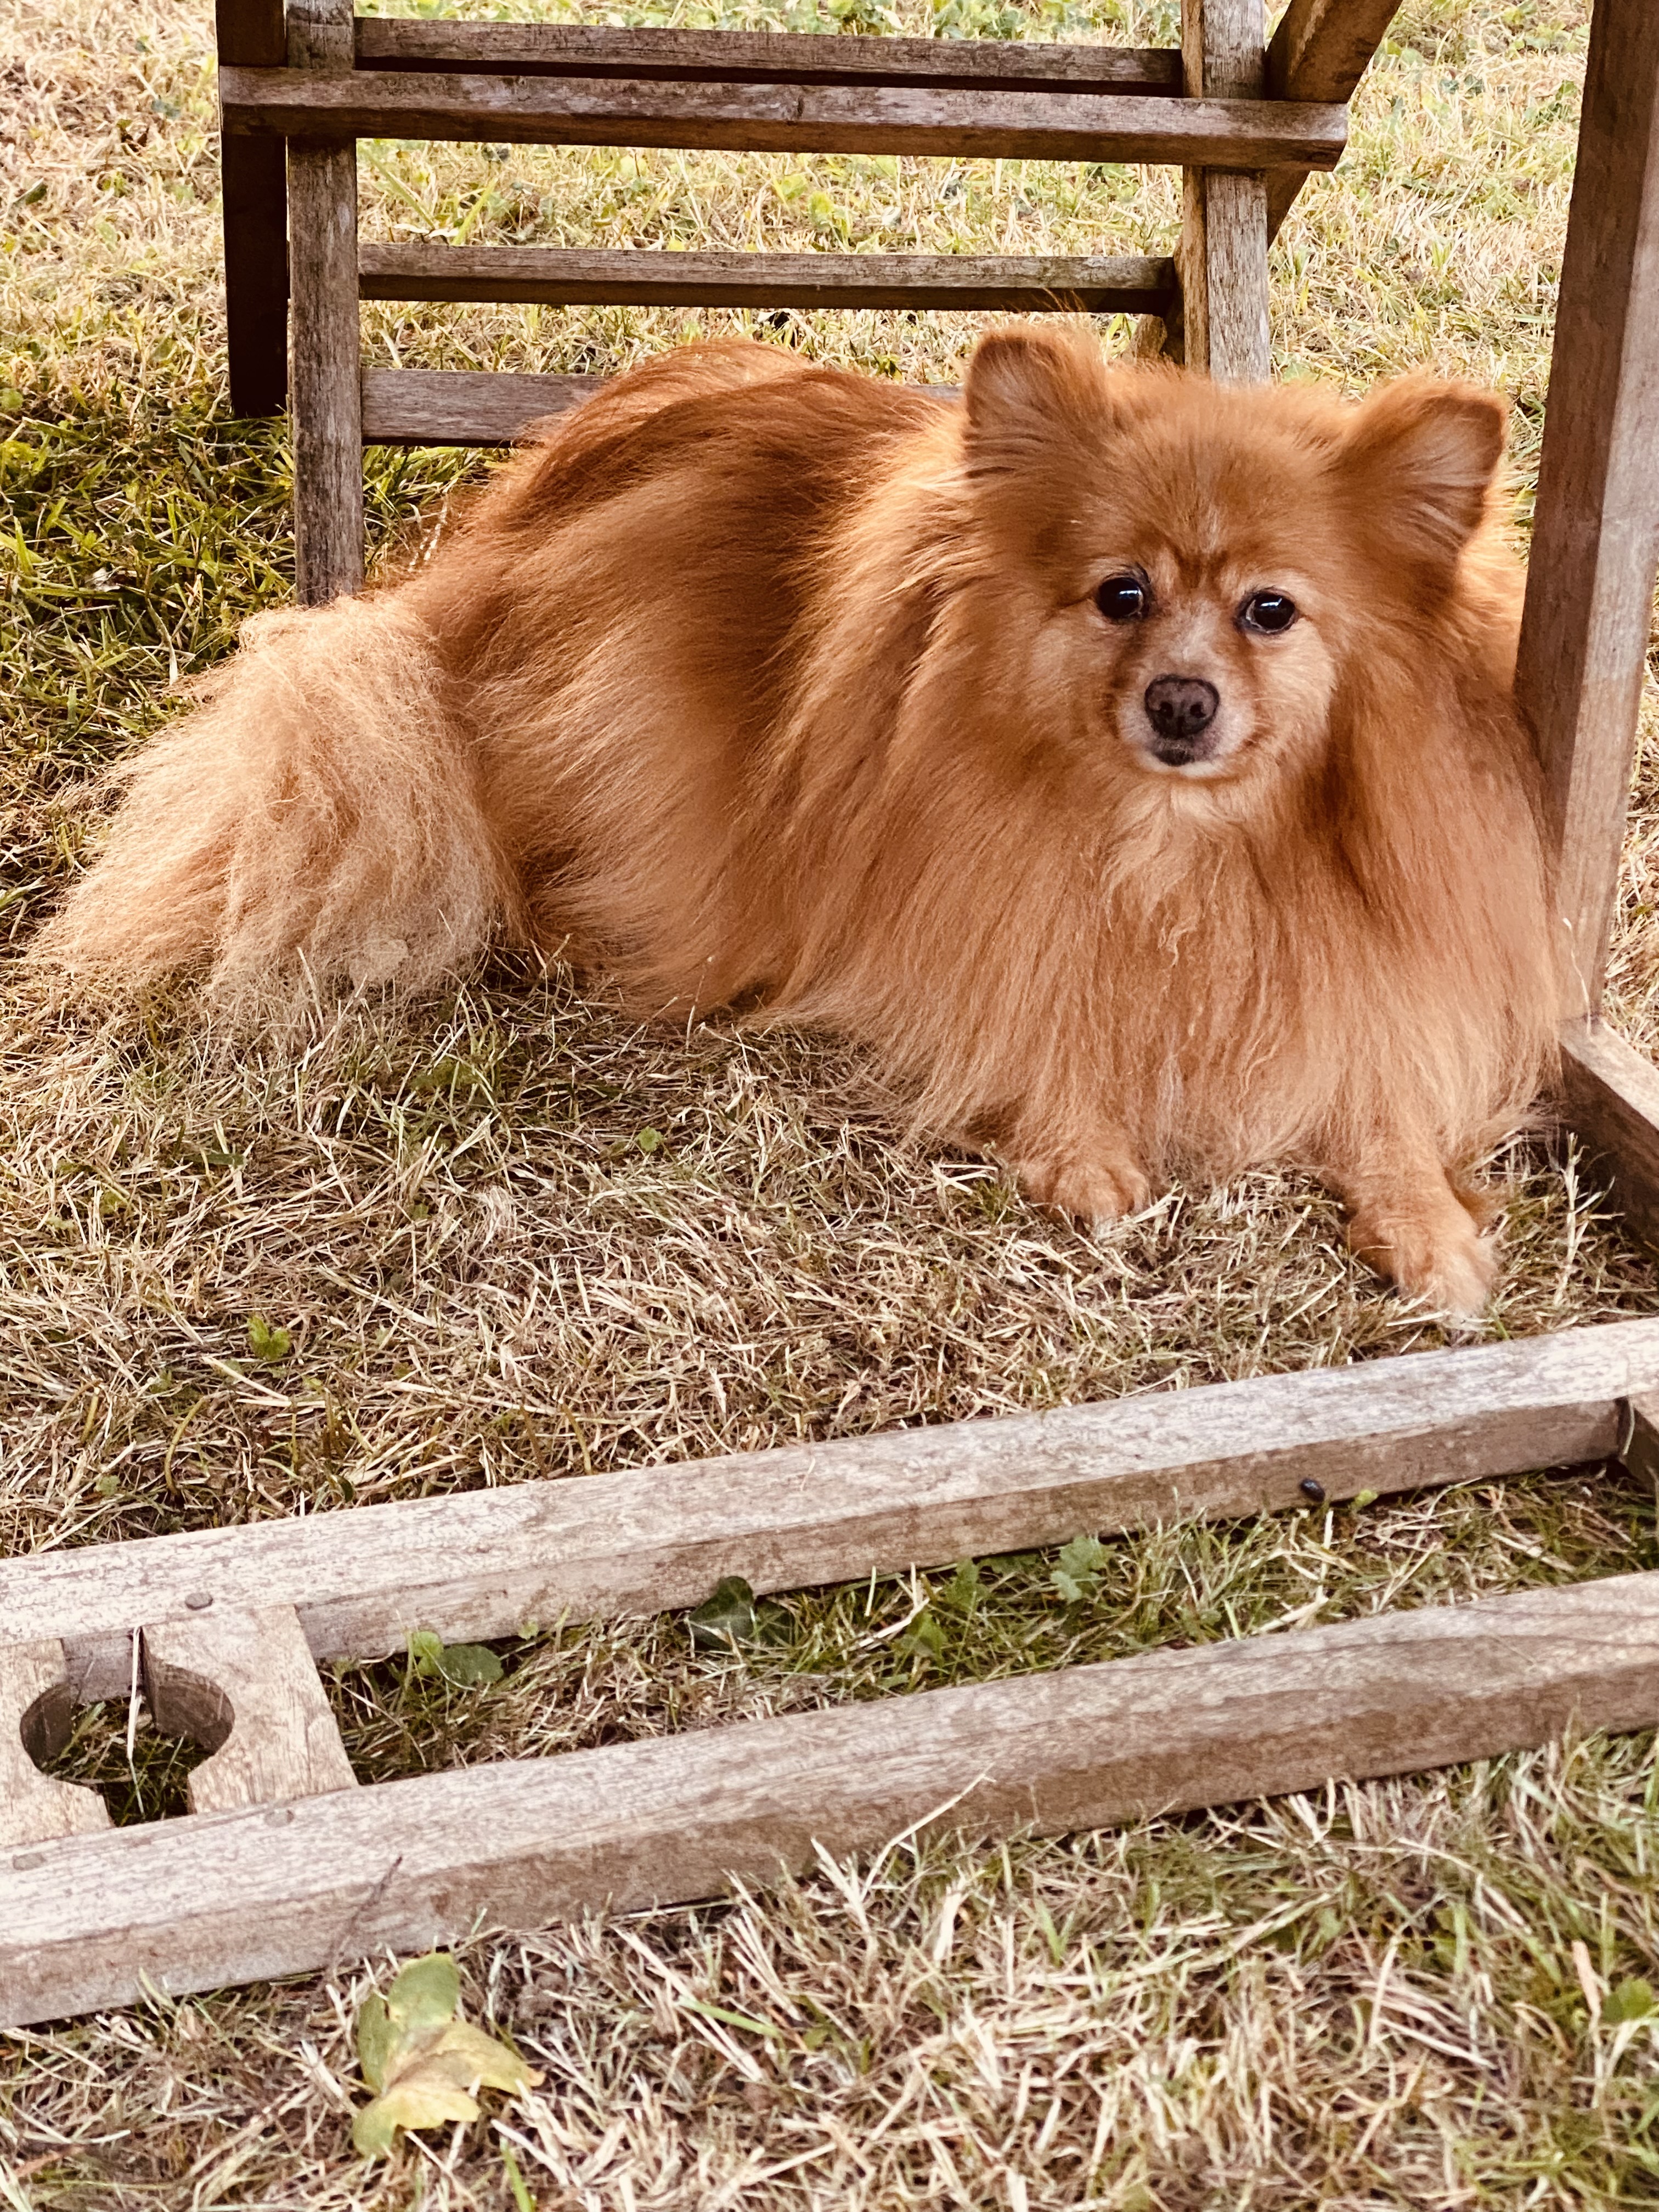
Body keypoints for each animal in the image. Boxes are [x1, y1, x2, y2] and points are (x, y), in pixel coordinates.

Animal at [42, 325, 1575, 1309]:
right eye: (1121, 595)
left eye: (1271, 611)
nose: (1181, 703)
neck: (1177, 850)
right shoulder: (973, 909)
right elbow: (1041, 1013)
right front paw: (1081, 1143)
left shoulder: (1368, 972)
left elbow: (1379, 1093)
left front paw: (1428, 1226)